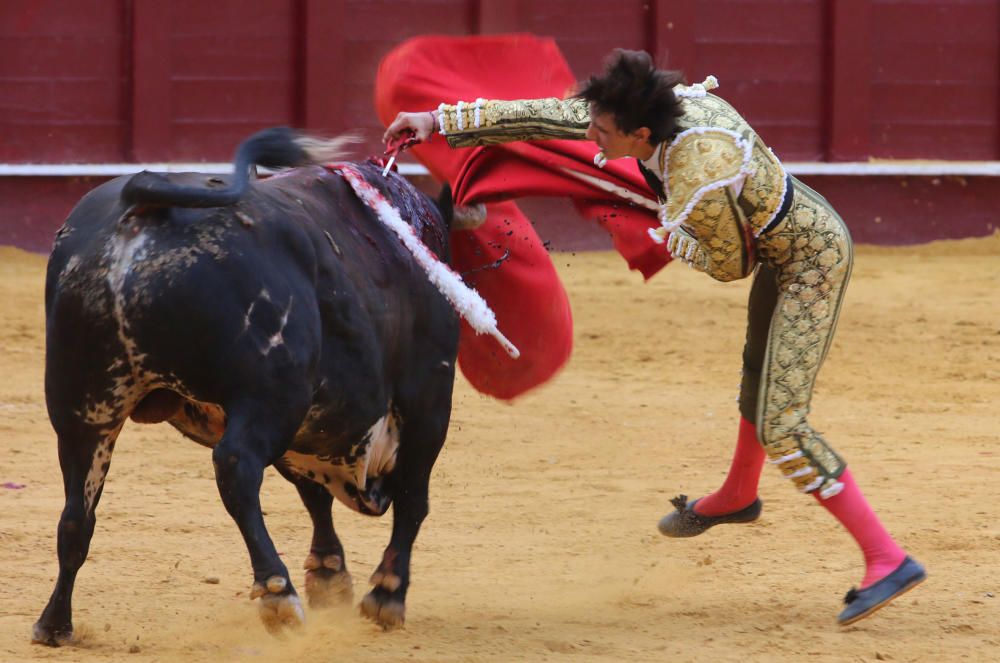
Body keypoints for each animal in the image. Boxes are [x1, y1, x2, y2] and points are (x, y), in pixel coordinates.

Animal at [33, 128, 462, 644]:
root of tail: (141, 209)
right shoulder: (428, 396)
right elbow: (412, 498)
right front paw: (385, 595)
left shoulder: (311, 427)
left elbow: (313, 494)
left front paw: (330, 577)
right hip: (269, 397)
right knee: (236, 467)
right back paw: (279, 594)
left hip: (83, 407)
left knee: (76, 513)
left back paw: (54, 623)